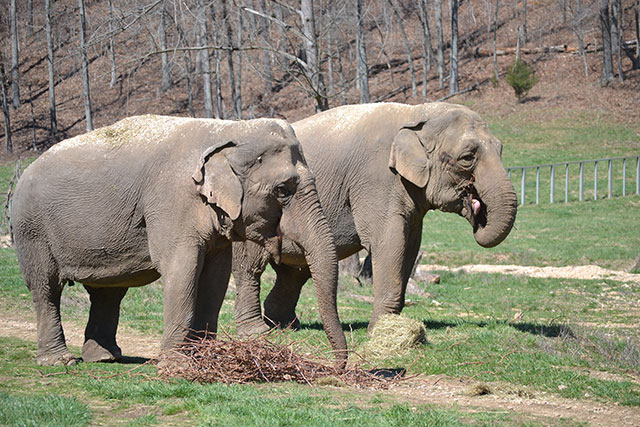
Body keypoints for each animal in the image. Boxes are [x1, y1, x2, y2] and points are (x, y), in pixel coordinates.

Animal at [8, 114, 344, 368]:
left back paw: (105, 358)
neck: (228, 129)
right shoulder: (170, 202)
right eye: (283, 190)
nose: (336, 366)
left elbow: (215, 276)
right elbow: (182, 268)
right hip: (31, 229)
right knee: (46, 288)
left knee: (108, 291)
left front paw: (205, 357)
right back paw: (60, 361)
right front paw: (176, 364)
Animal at [232, 102, 516, 336]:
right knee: (250, 268)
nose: (475, 205)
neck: (417, 112)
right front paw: (378, 332)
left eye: (502, 149)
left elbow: (410, 246)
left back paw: (284, 325)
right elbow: (388, 242)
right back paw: (258, 331)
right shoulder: (375, 180)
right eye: (467, 158)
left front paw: (391, 328)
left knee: (294, 272)